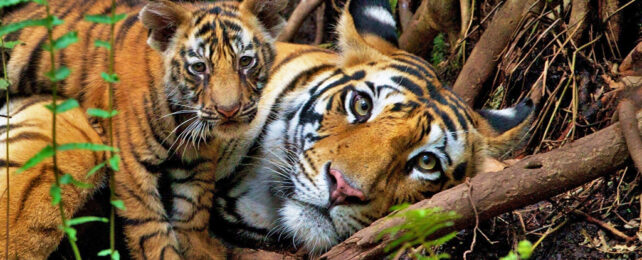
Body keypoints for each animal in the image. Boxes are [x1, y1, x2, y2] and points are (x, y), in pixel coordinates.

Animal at [0, 0, 284, 258]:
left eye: (245, 62)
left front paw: (201, 250)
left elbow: (195, 208)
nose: (229, 110)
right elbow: (150, 229)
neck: (183, 118)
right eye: (199, 67)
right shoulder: (131, 163)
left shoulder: (198, 157)